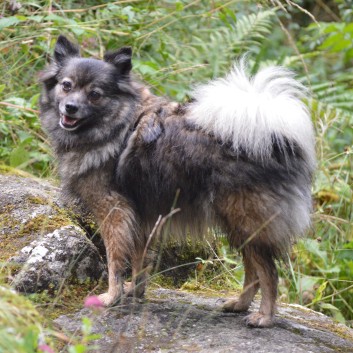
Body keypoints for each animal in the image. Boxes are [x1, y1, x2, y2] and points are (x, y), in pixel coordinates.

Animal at [38, 35, 314, 328]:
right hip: (236, 225)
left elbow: (115, 261)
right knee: (253, 269)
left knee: (269, 272)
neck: (117, 124)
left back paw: (264, 317)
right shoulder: (139, 215)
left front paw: (111, 297)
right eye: (66, 86)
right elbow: (139, 259)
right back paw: (239, 304)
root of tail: (276, 140)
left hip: (246, 220)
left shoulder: (115, 212)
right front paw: (134, 291)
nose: (70, 107)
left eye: (95, 94)